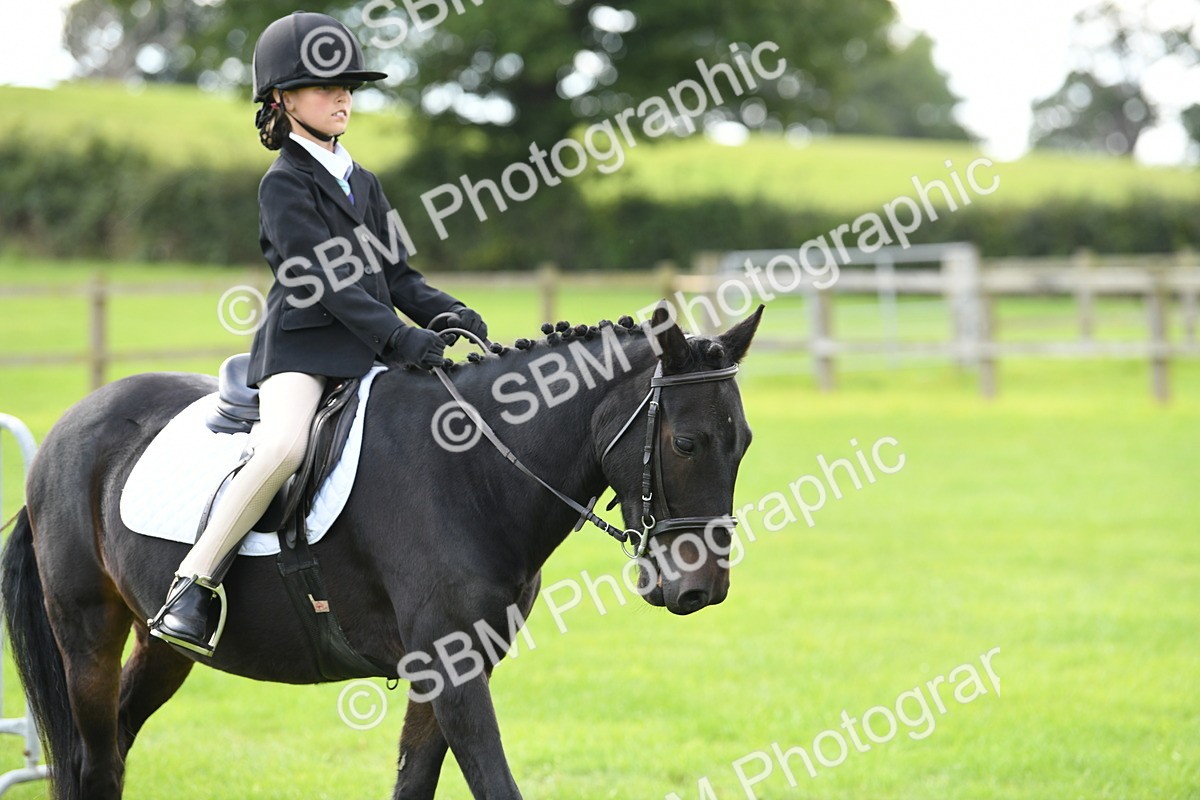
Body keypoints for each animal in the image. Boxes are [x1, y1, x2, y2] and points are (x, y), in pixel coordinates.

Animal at [1, 304, 762, 799]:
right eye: (685, 443)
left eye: (744, 443)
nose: (702, 589)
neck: (475, 469)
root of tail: (72, 423)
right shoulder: (450, 670)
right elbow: (496, 784)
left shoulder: (449, 670)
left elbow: (414, 784)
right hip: (87, 636)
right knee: (92, 764)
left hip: (161, 646)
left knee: (117, 744)